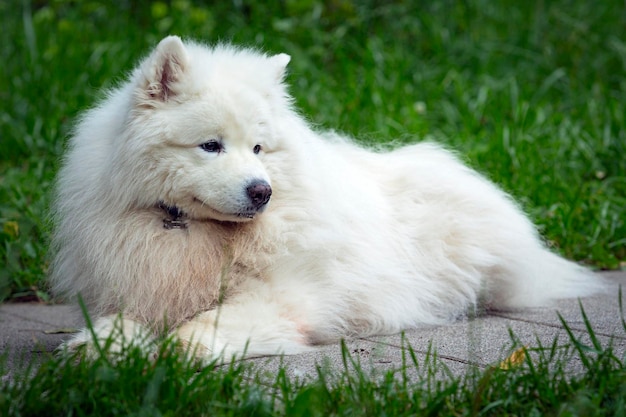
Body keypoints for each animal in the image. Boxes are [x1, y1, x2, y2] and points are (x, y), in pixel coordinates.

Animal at [51, 35, 604, 360]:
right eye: (211, 145)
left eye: (258, 148)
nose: (262, 191)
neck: (197, 232)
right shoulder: (143, 286)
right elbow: (117, 324)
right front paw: (99, 347)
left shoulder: (284, 296)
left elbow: (206, 325)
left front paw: (178, 348)